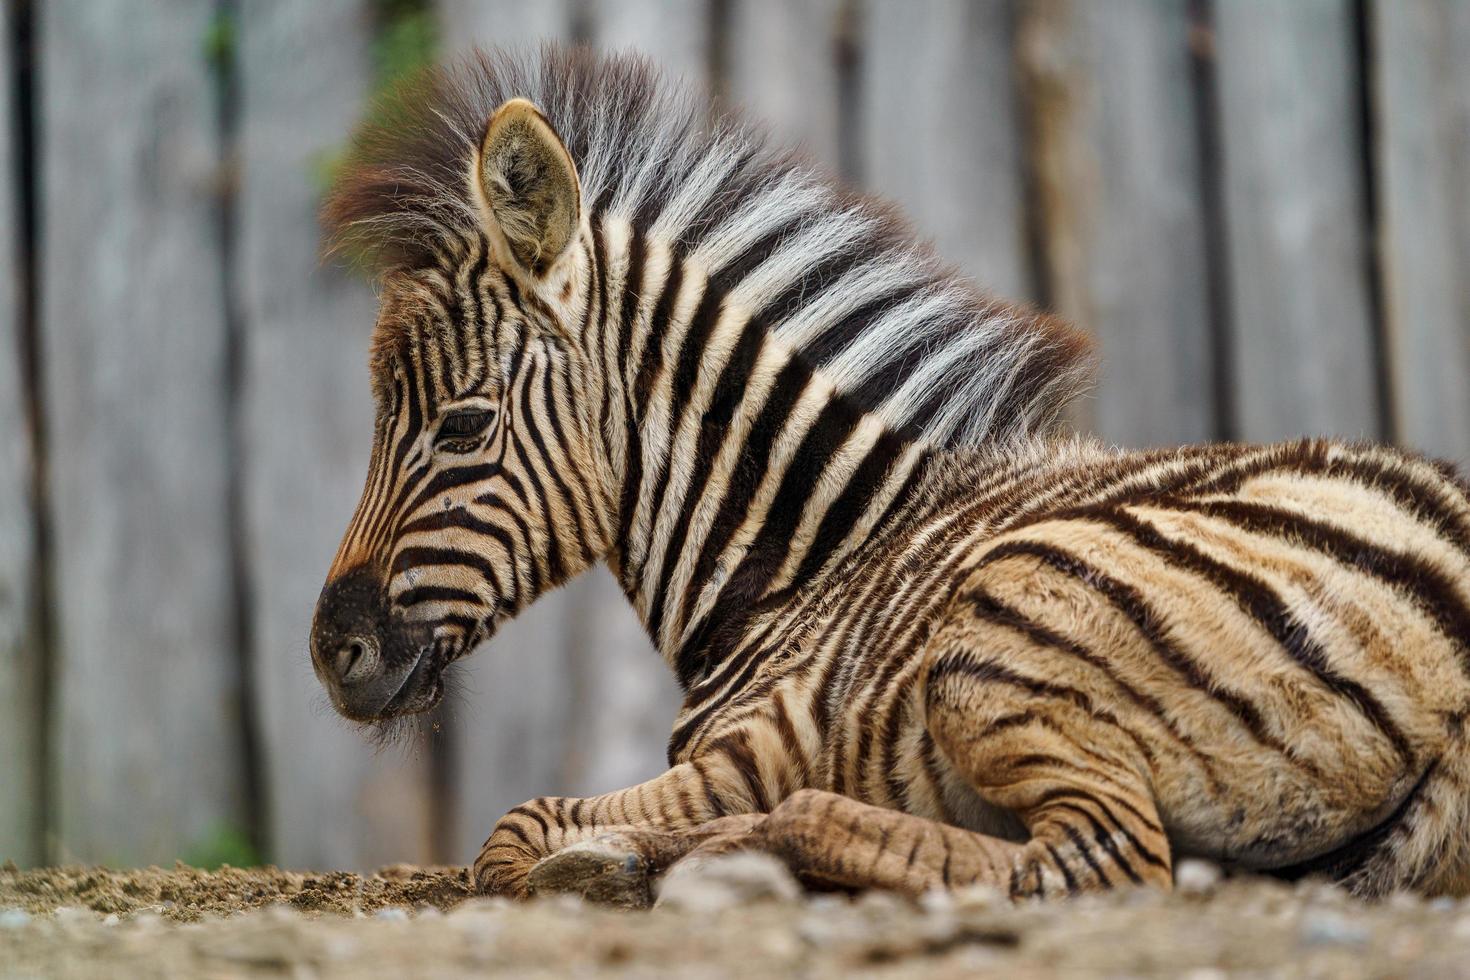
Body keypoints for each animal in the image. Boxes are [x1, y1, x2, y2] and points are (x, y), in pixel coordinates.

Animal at [310, 45, 1470, 905]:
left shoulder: (756, 747)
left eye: (463, 425)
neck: (815, 557)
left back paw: (694, 857)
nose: (331, 653)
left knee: (1102, 853)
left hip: (1008, 622)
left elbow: (515, 830)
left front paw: (606, 856)